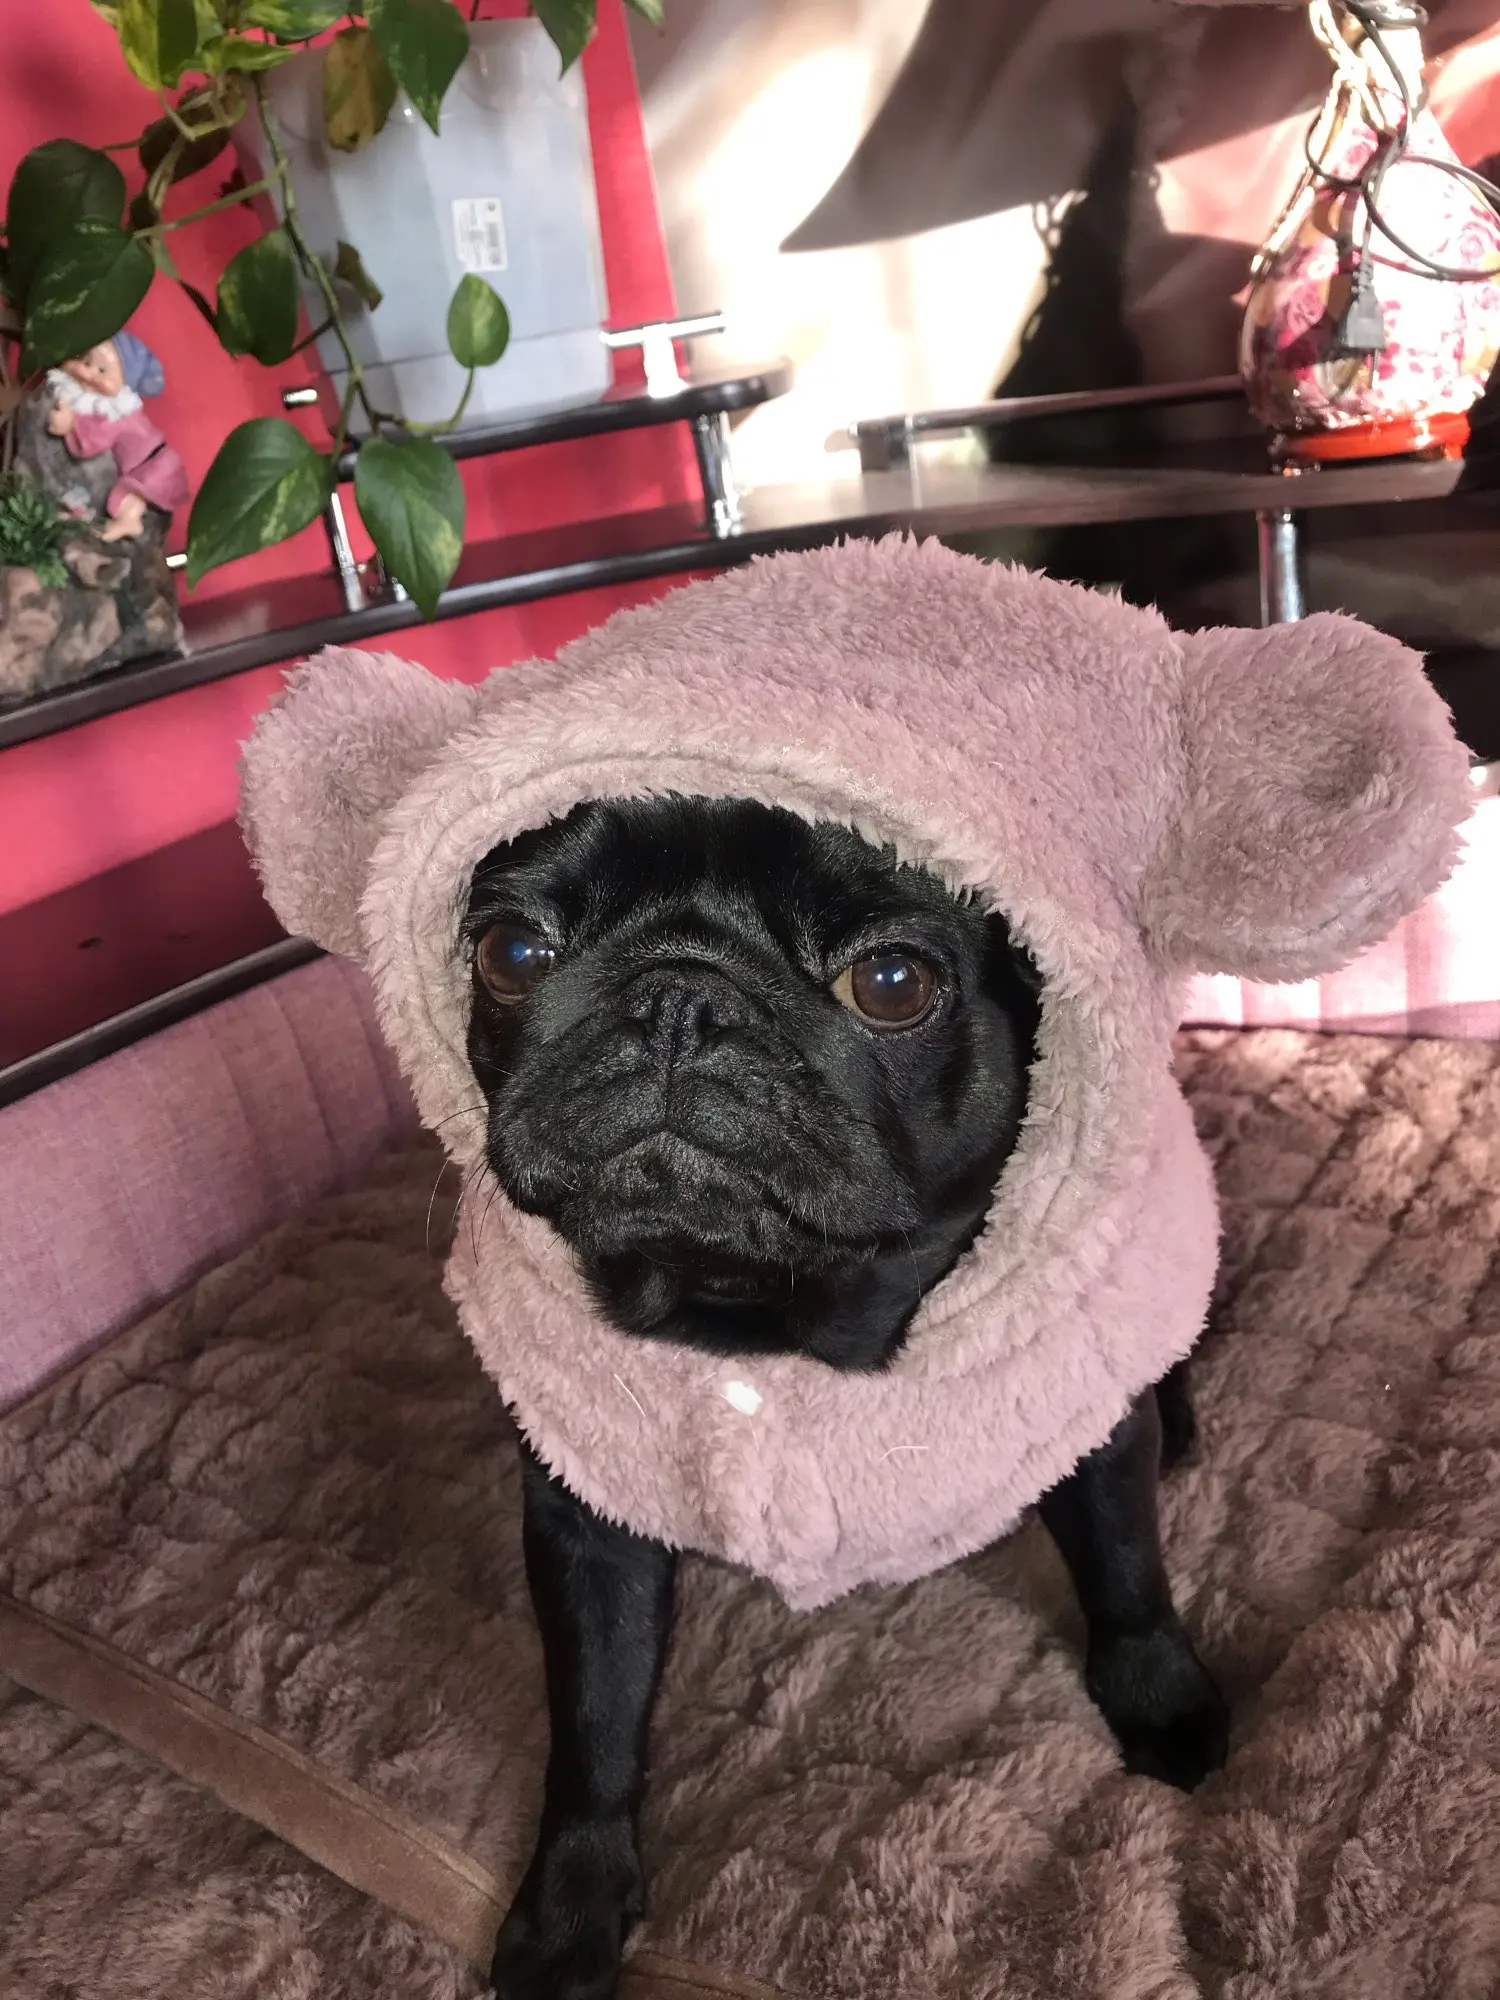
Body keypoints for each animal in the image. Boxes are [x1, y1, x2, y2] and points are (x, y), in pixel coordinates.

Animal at [465, 792, 1227, 2000]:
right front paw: (567, 1914)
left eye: (893, 981)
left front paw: (1164, 1700)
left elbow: (1126, 1569)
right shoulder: (583, 1522)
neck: (753, 1309)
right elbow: (592, 1714)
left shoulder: (1092, 1432)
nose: (678, 998)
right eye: (510, 952)